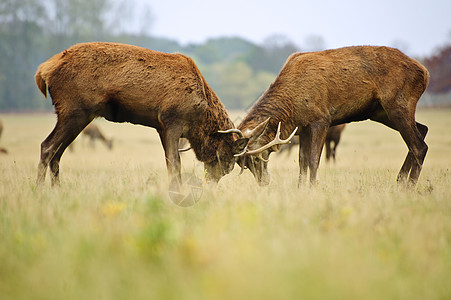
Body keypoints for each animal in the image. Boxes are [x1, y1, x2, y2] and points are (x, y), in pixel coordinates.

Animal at [35, 42, 247, 190]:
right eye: (225, 158)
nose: (210, 184)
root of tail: (43, 71)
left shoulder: (161, 127)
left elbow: (169, 161)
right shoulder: (172, 120)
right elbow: (175, 162)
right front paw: (176, 191)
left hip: (77, 115)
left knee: (57, 152)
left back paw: (57, 189)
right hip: (74, 110)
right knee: (48, 146)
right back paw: (39, 190)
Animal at [230, 45, 430, 186]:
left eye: (258, 157)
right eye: (244, 164)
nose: (264, 182)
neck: (292, 108)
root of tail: (425, 73)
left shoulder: (321, 119)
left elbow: (313, 160)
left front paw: (313, 188)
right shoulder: (303, 127)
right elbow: (302, 161)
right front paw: (300, 189)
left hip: (398, 104)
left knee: (419, 145)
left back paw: (409, 185)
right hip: (381, 112)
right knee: (423, 129)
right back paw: (400, 181)